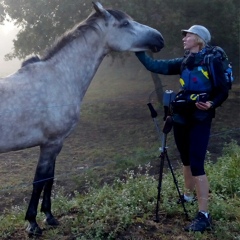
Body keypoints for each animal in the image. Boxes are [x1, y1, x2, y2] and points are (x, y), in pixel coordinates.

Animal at [0, 1, 164, 236]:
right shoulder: (50, 144)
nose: (159, 38)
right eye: (125, 24)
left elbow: (50, 179)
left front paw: (49, 216)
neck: (58, 77)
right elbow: (39, 181)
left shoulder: (56, 144)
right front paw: (32, 223)